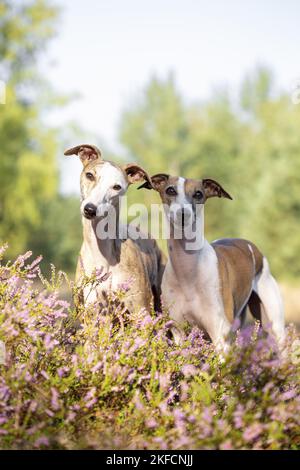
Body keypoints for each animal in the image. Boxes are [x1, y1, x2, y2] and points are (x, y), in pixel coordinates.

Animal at [139, 174, 284, 350]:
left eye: (198, 194)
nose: (183, 214)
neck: (188, 270)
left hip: (274, 322)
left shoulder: (220, 336)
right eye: (170, 190)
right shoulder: (179, 333)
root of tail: (252, 247)